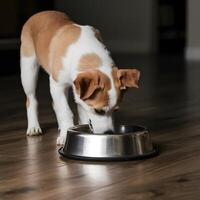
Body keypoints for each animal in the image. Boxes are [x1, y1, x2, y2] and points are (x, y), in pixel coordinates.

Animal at [19, 10, 139, 145]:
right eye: (98, 111)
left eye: (116, 110)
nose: (109, 133)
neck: (88, 53)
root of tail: (40, 13)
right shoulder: (57, 85)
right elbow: (66, 111)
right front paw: (65, 136)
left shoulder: (79, 92)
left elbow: (79, 112)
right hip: (29, 70)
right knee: (31, 99)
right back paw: (33, 127)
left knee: (55, 104)